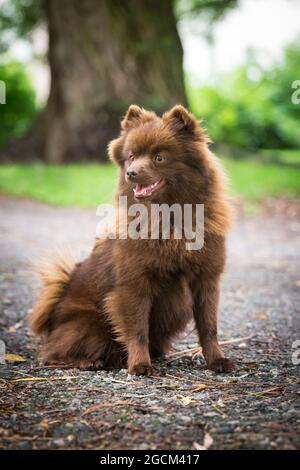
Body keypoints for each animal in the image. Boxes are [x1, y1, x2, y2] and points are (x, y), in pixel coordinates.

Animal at [31, 103, 236, 374]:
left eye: (159, 158)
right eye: (130, 157)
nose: (131, 172)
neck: (170, 218)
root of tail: (53, 315)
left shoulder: (206, 279)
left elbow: (209, 327)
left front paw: (216, 360)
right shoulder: (134, 284)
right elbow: (137, 329)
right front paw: (139, 364)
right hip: (90, 327)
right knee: (54, 352)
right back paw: (88, 361)